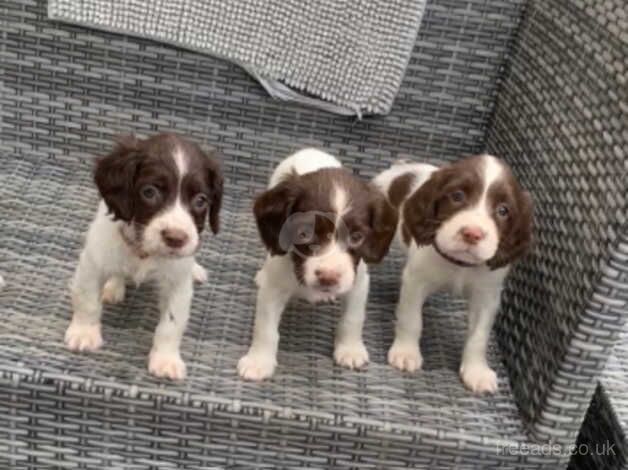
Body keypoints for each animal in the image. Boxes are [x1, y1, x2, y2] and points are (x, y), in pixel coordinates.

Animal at [65, 133, 223, 382]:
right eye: (149, 192)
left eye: (201, 200)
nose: (176, 238)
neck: (143, 250)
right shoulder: (92, 263)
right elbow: (87, 300)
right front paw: (84, 333)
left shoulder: (177, 282)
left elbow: (171, 323)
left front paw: (166, 360)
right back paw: (113, 287)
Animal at [238, 149, 394, 380]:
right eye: (304, 234)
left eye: (357, 237)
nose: (329, 277)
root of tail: (311, 150)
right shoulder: (273, 288)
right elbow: (266, 328)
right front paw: (258, 361)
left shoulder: (358, 282)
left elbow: (353, 319)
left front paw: (350, 350)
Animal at [376, 154, 532, 392]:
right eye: (457, 196)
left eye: (503, 210)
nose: (472, 233)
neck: (460, 265)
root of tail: (399, 169)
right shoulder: (416, 280)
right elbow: (412, 319)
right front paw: (406, 352)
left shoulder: (487, 296)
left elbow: (479, 336)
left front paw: (476, 371)